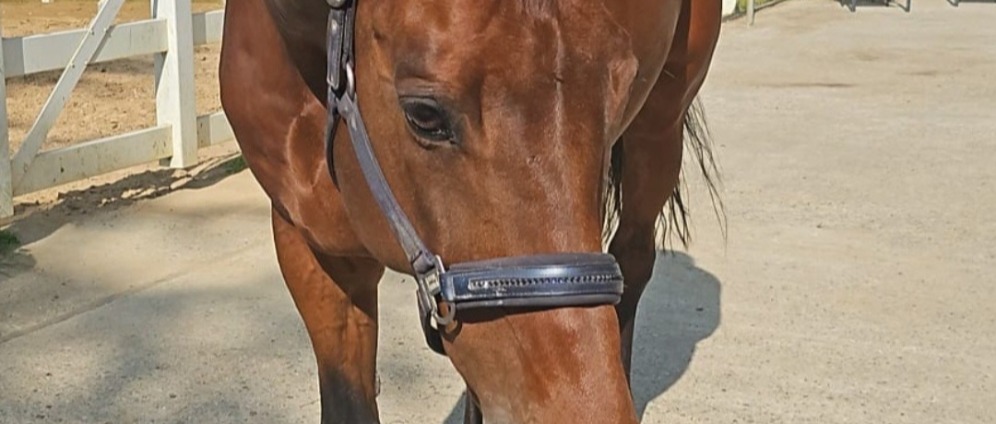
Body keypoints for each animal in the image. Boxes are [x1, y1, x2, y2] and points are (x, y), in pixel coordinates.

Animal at [218, 0, 723, 422]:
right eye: (424, 114)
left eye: (618, 98)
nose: (589, 409)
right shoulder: (314, 249)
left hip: (660, 130)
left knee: (634, 261)